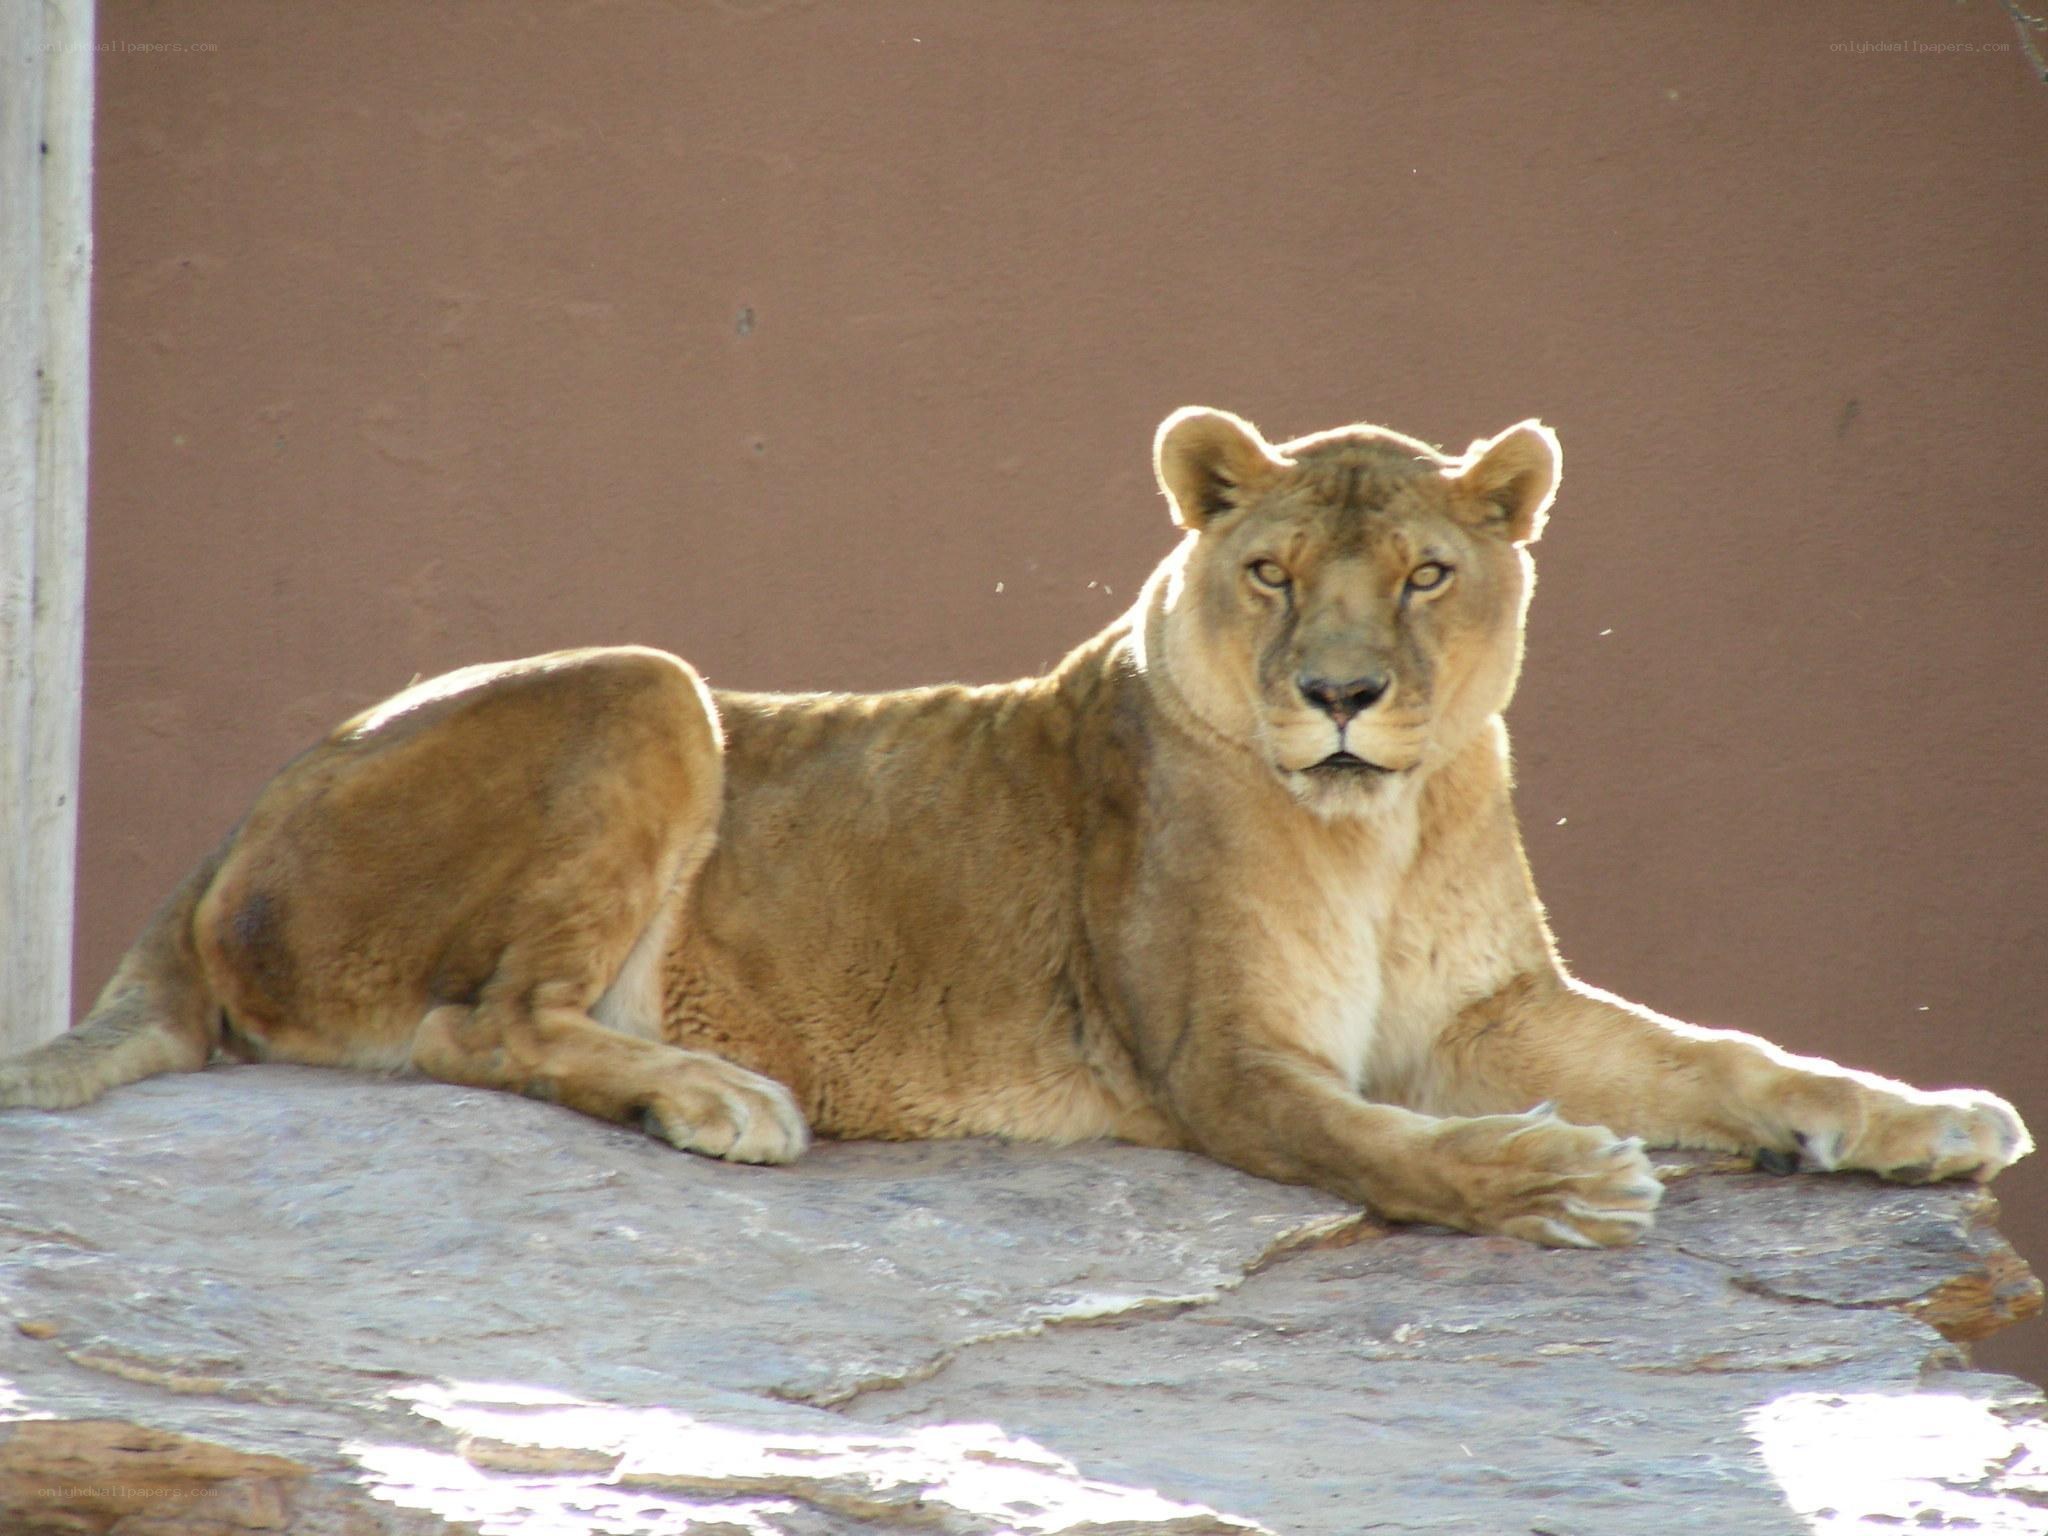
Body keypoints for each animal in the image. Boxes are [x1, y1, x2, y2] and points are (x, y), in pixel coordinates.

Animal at [0, 408, 2029, 1247]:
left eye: (1427, 577)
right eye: (1272, 572)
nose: (1341, 695)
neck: (1380, 831)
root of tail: (224, 829)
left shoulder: (1484, 1013)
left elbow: (1722, 1052)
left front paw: (1917, 1118)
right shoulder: (1223, 1058)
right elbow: (1390, 1152)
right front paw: (1549, 1180)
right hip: (649, 684)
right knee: (476, 1024)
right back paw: (714, 1096)